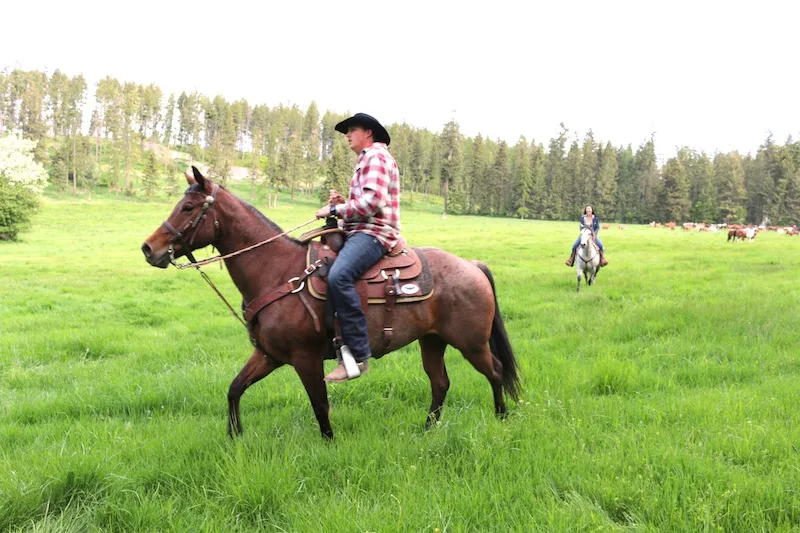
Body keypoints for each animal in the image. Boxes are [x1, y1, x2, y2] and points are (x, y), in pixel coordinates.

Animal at [141, 166, 520, 436]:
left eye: (188, 207)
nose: (148, 248)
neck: (277, 271)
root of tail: (472, 265)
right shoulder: (268, 355)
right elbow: (235, 389)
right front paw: (235, 436)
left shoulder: (305, 358)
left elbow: (320, 407)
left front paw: (329, 445)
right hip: (432, 341)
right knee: (440, 383)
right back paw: (426, 430)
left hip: (471, 343)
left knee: (495, 372)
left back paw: (501, 420)